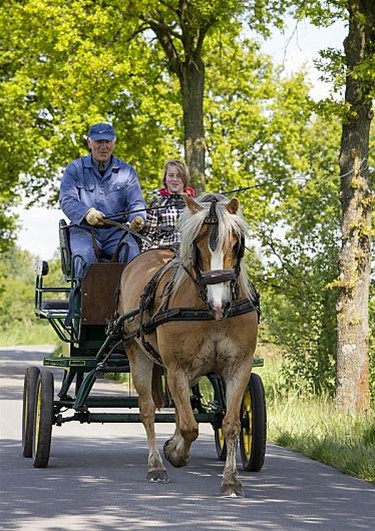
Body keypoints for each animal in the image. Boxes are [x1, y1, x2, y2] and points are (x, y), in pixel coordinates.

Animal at [119, 193, 260, 496]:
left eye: (235, 243)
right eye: (197, 244)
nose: (220, 303)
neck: (211, 313)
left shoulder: (239, 367)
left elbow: (231, 423)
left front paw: (231, 480)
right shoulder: (176, 369)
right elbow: (189, 426)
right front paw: (176, 453)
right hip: (137, 352)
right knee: (148, 410)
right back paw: (156, 466)